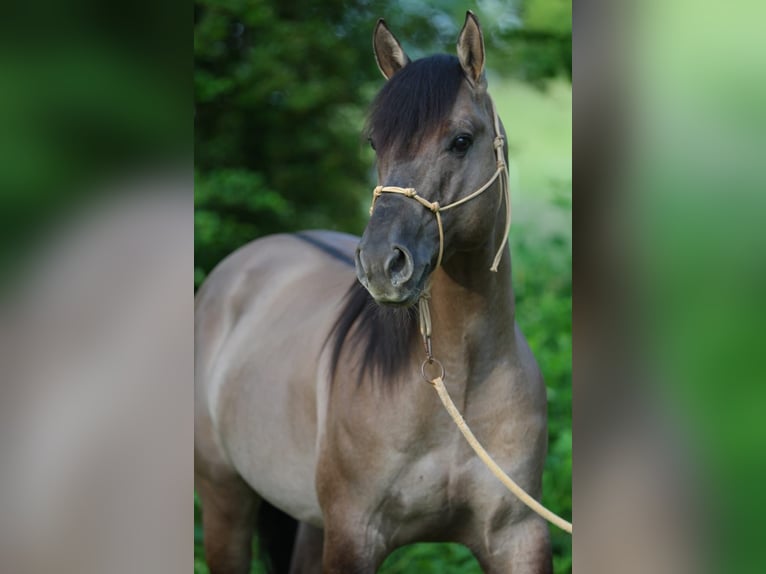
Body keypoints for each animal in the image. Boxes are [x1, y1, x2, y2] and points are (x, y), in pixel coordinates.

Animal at [195, 12, 552, 573]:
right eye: (374, 144)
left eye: (461, 140)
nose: (383, 264)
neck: (457, 384)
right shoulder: (354, 535)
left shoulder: (519, 536)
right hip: (225, 500)